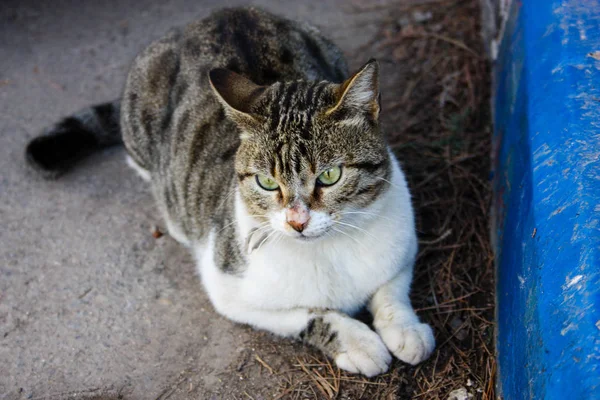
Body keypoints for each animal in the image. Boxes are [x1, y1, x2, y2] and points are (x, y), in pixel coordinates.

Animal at [24, 6, 436, 376]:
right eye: (267, 182)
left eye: (330, 176)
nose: (297, 222)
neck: (331, 250)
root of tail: (220, 14)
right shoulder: (229, 287)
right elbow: (310, 314)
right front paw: (359, 342)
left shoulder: (402, 245)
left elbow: (391, 291)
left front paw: (407, 330)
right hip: (141, 122)